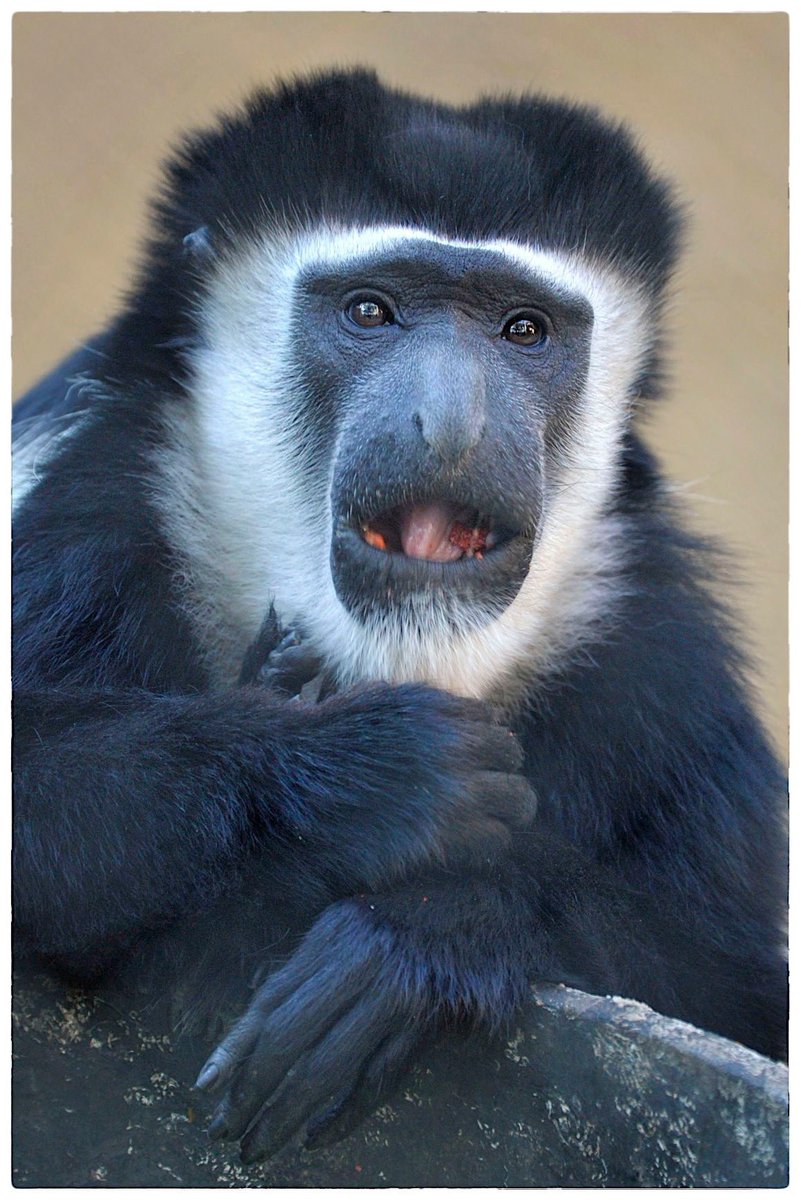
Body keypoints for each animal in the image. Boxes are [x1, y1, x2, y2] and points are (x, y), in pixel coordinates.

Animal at [12, 69, 787, 1165]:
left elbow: (736, 997)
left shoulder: (659, 657)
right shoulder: (88, 503)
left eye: (523, 331)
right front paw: (366, 776)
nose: (451, 425)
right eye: (371, 311)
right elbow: (33, 774)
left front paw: (429, 932)